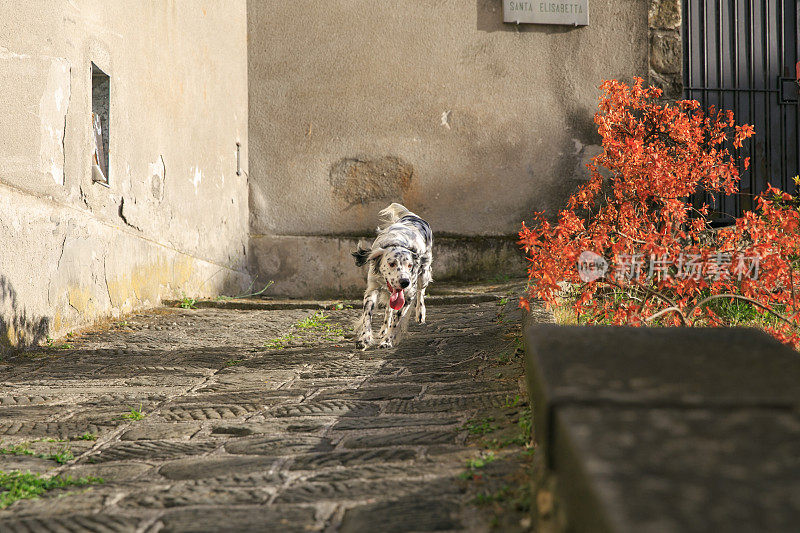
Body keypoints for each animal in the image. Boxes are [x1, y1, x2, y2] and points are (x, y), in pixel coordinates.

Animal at [354, 202, 434, 348]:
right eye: (391, 263)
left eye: (410, 265)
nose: (405, 282)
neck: (396, 242)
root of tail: (412, 216)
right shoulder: (372, 289)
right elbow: (367, 316)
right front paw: (364, 338)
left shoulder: (408, 295)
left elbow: (397, 320)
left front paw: (387, 340)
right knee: (388, 309)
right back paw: (383, 329)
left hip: (424, 274)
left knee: (421, 292)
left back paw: (420, 313)